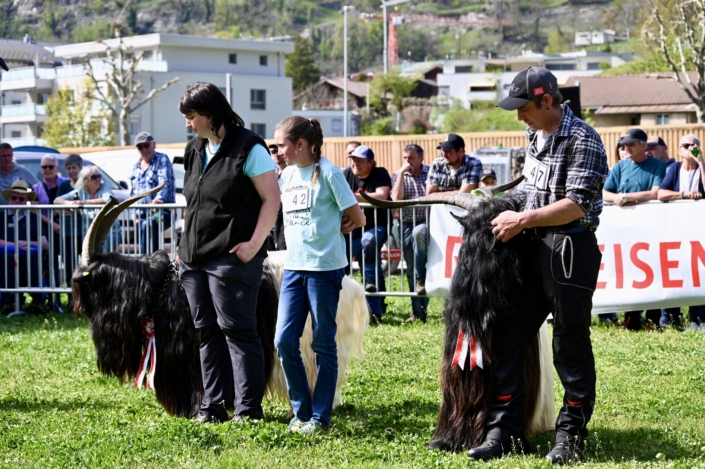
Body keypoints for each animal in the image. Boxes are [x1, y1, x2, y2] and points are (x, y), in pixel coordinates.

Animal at [72, 184, 368, 418]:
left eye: (85, 280)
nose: (76, 303)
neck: (157, 287)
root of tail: (349, 284)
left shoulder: (188, 350)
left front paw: (200, 410)